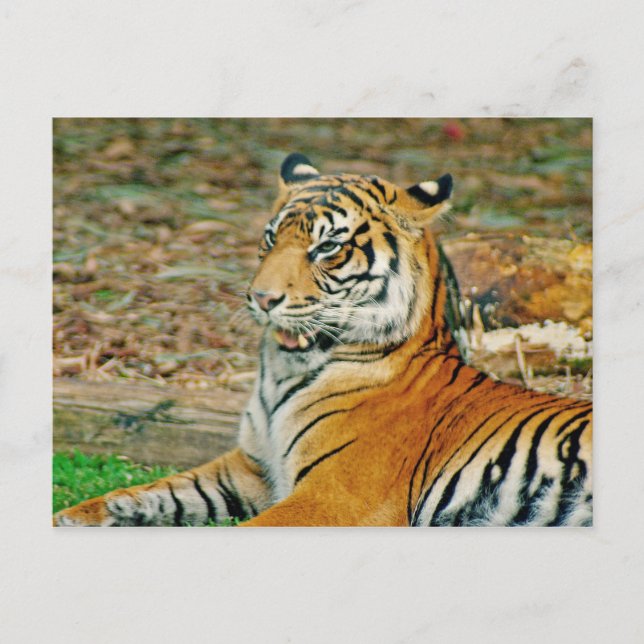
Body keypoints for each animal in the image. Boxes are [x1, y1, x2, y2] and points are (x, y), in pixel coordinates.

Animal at [53, 153, 592, 527]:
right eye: (271, 238)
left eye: (328, 246)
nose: (261, 297)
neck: (281, 375)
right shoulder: (249, 468)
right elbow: (150, 492)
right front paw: (74, 516)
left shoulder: (335, 498)